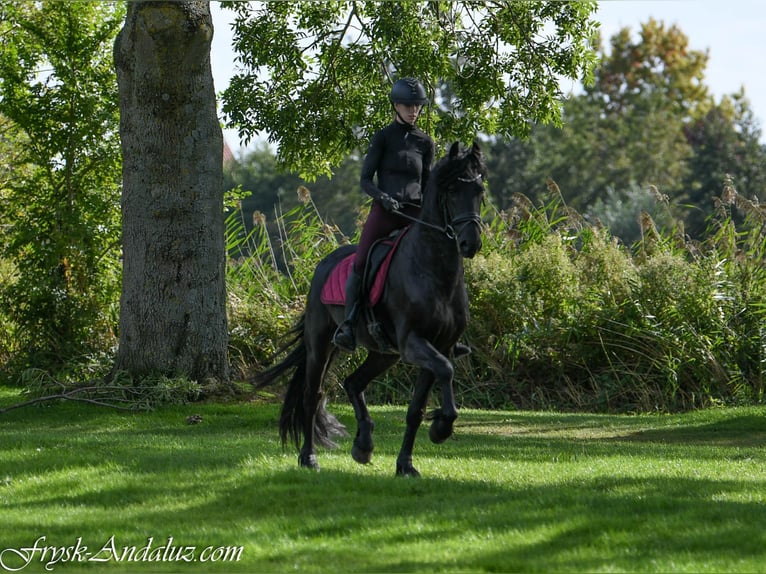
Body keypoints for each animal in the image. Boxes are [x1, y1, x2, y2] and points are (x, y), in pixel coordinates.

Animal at [254, 141, 487, 477]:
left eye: (479, 190)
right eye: (453, 190)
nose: (471, 243)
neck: (434, 272)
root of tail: (324, 264)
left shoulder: (438, 345)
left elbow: (417, 408)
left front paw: (406, 464)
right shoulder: (413, 343)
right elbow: (446, 369)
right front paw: (441, 429)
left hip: (383, 353)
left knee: (353, 382)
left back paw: (363, 444)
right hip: (321, 344)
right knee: (312, 396)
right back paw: (309, 457)